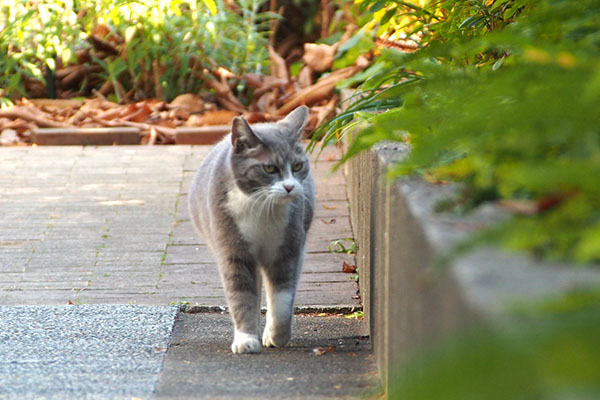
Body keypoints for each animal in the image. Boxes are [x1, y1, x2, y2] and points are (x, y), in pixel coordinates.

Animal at [190, 105, 316, 354]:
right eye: (269, 168)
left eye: (297, 166)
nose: (290, 186)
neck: (261, 209)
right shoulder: (233, 252)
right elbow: (242, 297)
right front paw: (246, 339)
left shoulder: (287, 249)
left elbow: (282, 299)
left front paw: (277, 336)